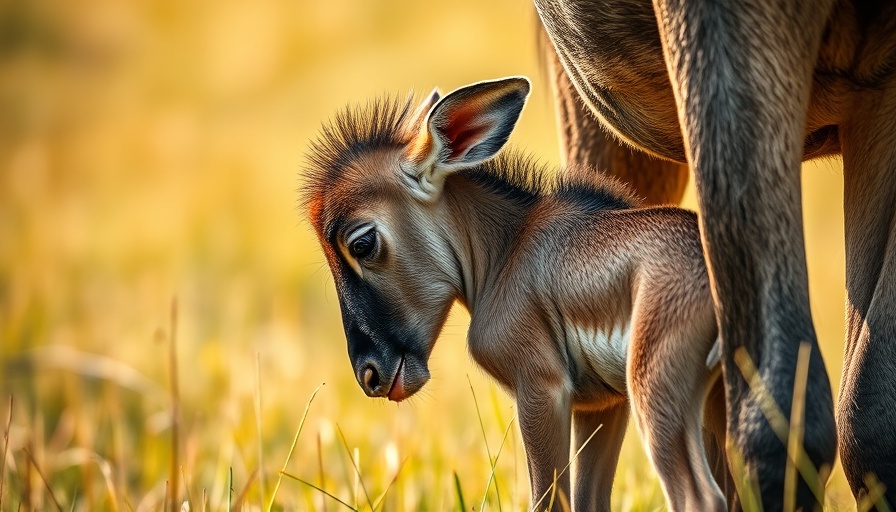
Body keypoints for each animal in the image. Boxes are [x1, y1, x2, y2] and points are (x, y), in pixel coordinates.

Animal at [300, 77, 728, 512]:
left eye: (362, 243)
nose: (369, 374)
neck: (506, 252)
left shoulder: (542, 388)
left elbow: (549, 500)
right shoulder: (603, 404)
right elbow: (589, 500)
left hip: (656, 391)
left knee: (701, 496)